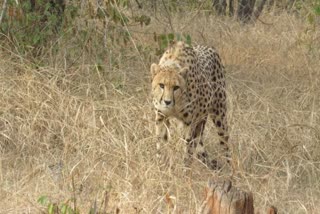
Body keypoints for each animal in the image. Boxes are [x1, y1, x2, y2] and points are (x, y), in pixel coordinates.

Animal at [151, 41, 229, 170]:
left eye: (176, 87)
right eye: (161, 85)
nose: (167, 102)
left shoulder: (188, 123)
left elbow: (187, 148)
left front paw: (184, 169)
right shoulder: (161, 117)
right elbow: (160, 143)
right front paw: (161, 166)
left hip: (219, 114)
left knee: (225, 143)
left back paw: (230, 168)